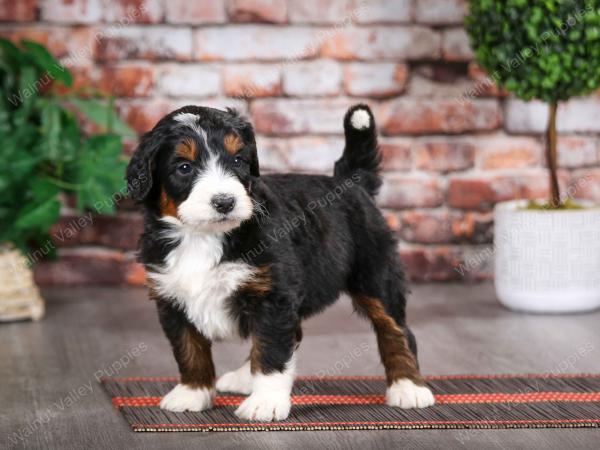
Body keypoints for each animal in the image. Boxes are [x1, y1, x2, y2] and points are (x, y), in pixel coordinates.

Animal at [127, 103, 436, 420]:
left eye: (238, 160)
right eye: (184, 167)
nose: (225, 202)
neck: (203, 237)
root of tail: (350, 181)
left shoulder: (273, 296)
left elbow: (271, 352)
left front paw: (265, 402)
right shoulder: (171, 297)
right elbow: (189, 349)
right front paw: (192, 392)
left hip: (375, 274)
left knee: (396, 330)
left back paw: (408, 386)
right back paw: (243, 377)